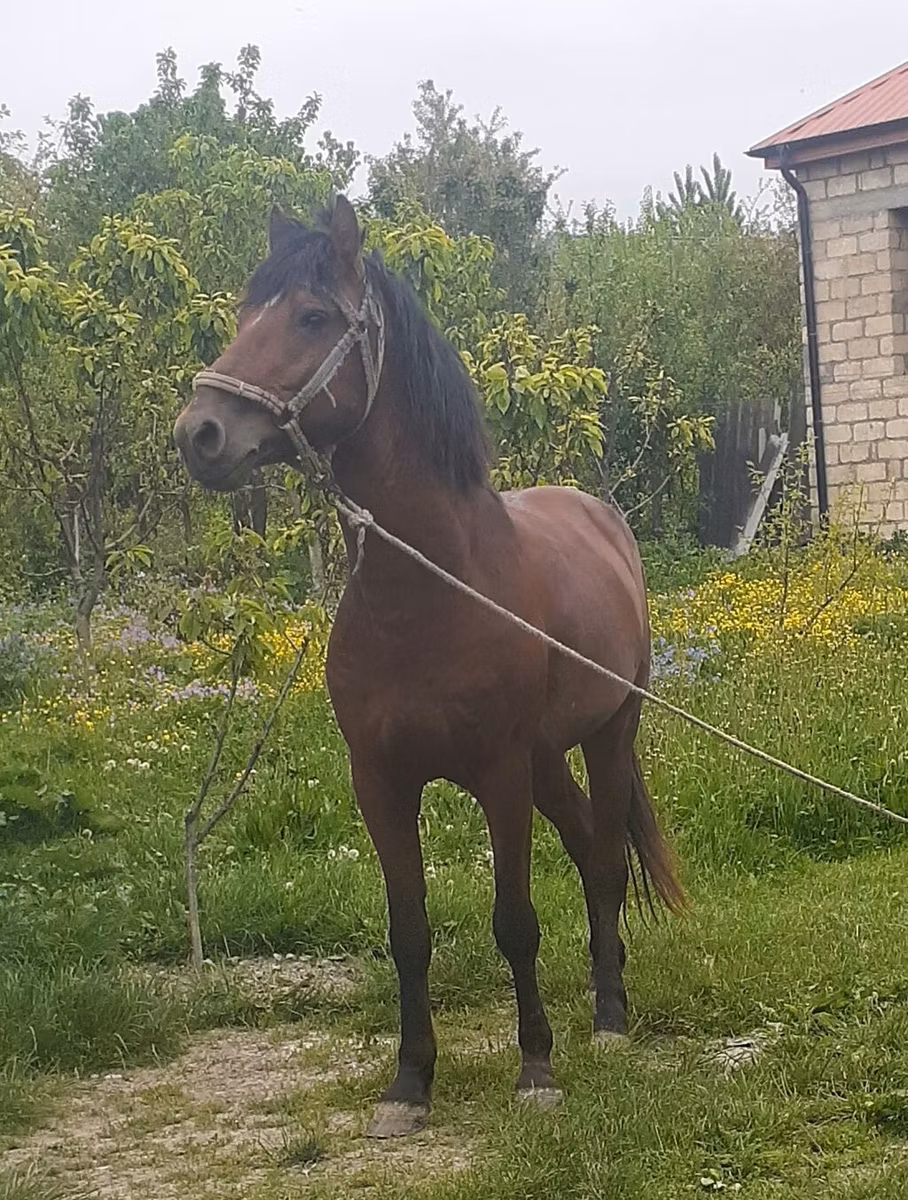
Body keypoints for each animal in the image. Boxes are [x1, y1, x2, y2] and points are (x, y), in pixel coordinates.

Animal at [173, 196, 684, 1138]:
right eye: (243, 313)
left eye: (312, 317)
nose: (201, 433)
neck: (429, 591)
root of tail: (602, 519)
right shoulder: (381, 782)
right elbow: (407, 931)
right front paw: (408, 1084)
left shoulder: (496, 775)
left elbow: (515, 921)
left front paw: (535, 1069)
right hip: (547, 758)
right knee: (591, 854)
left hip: (605, 735)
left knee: (601, 857)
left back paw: (609, 1019)